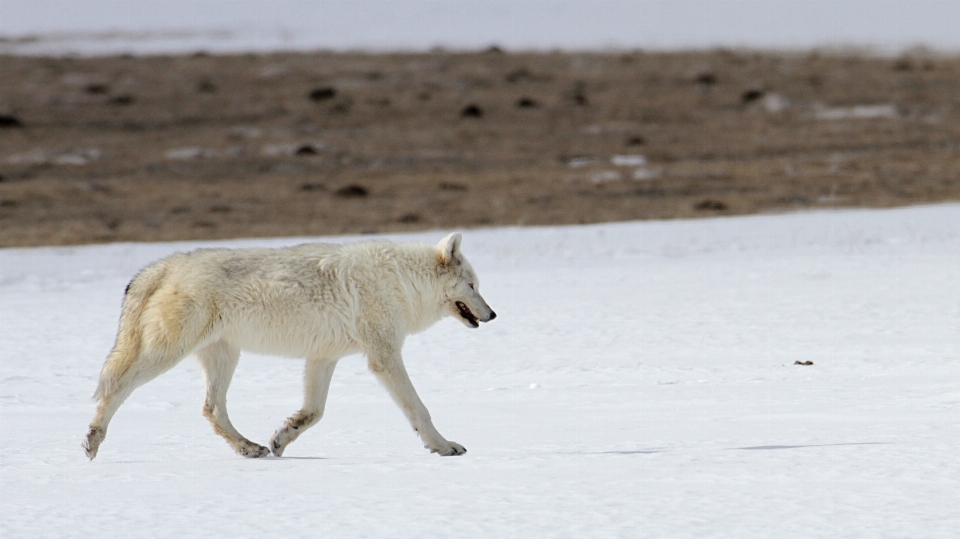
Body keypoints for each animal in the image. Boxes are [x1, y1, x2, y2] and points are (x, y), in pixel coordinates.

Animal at [81, 232, 496, 460]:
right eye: (473, 286)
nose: (492, 314)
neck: (402, 281)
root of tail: (164, 264)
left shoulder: (323, 358)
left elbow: (314, 412)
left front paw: (281, 438)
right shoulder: (383, 357)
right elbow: (419, 409)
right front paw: (444, 446)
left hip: (224, 356)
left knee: (211, 408)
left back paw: (250, 448)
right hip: (167, 354)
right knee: (116, 388)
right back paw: (92, 440)